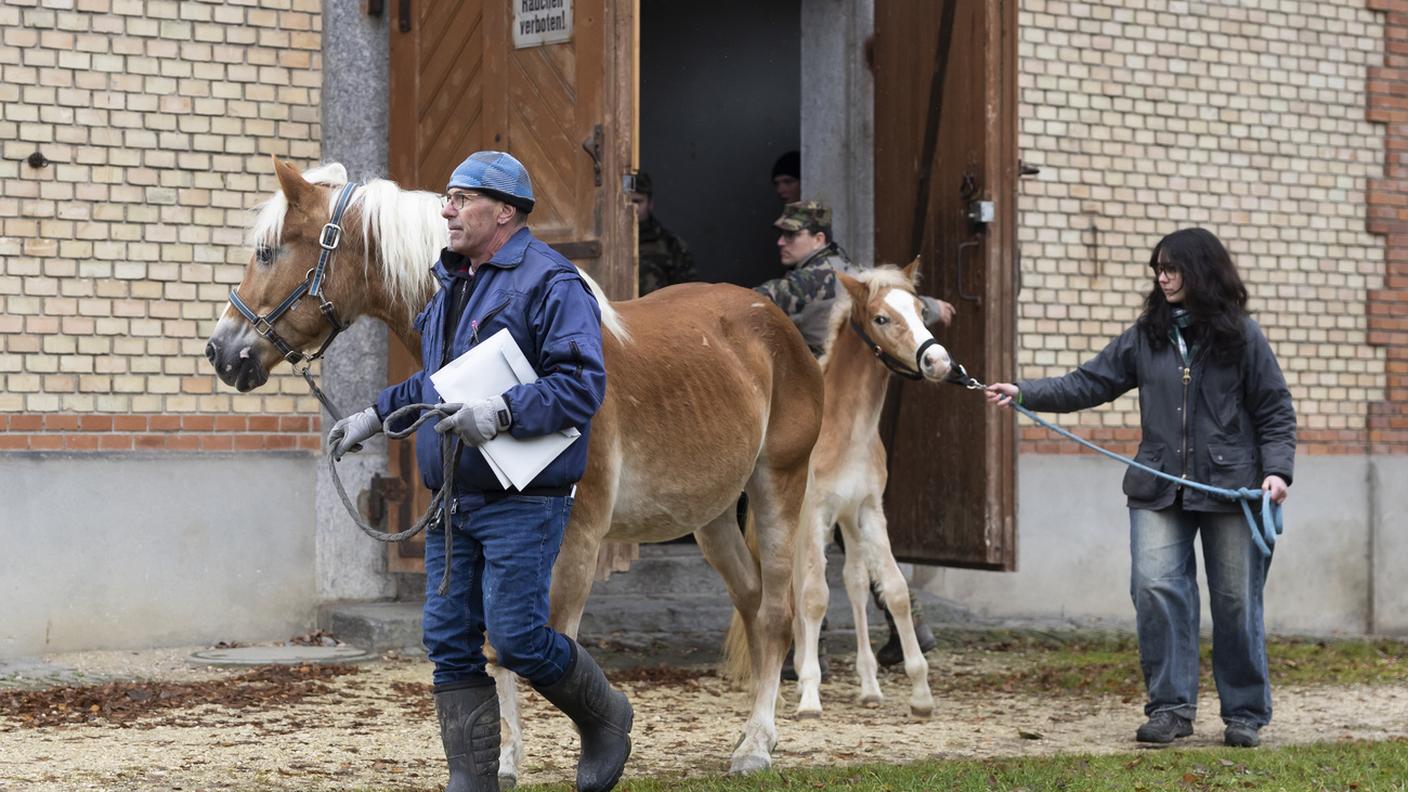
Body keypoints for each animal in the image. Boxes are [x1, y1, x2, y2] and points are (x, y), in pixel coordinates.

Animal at [204, 158, 824, 780]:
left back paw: (756, 745)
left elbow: (542, 644)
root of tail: (774, 321)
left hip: (778, 486)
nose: (221, 352)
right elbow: (494, 652)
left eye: (267, 252)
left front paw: (596, 749)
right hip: (711, 515)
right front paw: (504, 758)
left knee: (775, 612)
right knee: (750, 601)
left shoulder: (578, 540)